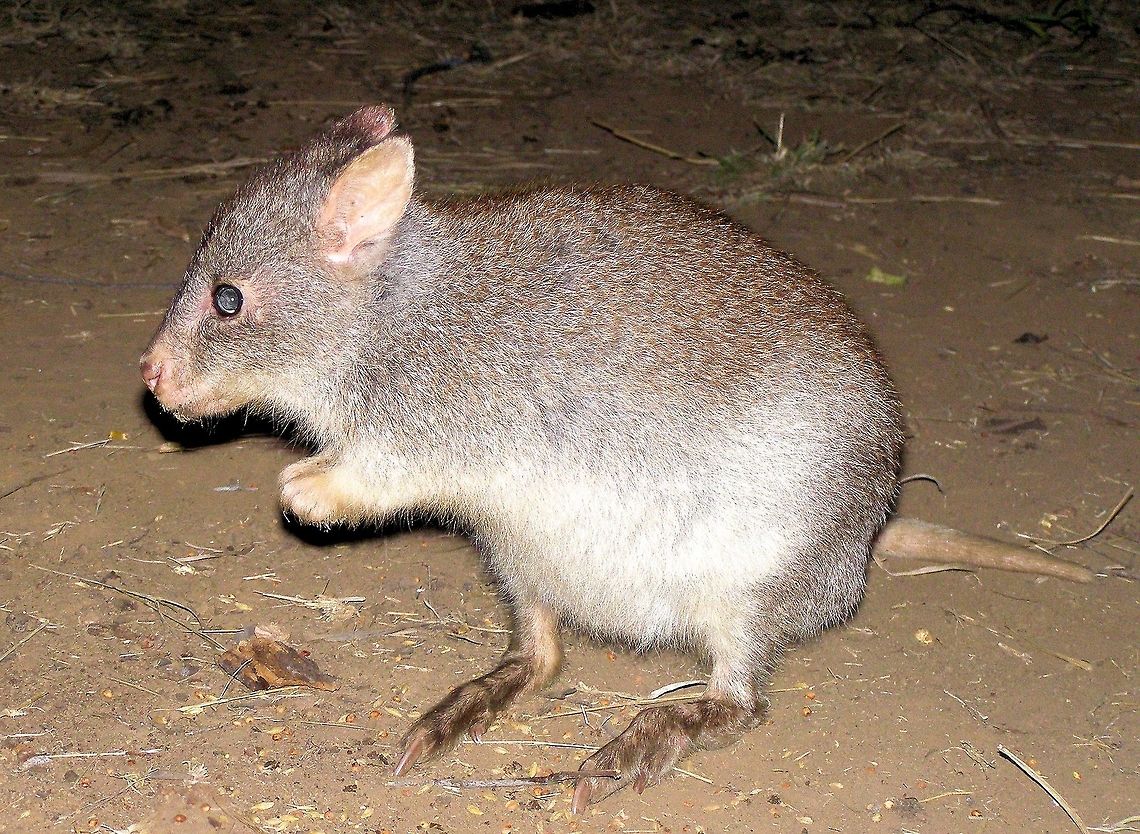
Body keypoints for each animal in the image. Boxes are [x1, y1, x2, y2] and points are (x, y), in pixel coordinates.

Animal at [140, 105, 1086, 812]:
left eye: (227, 300)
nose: (151, 376)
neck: (385, 317)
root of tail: (863, 543)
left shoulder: (444, 423)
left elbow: (378, 470)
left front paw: (303, 488)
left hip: (749, 581)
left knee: (739, 702)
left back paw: (627, 747)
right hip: (518, 554)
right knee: (544, 657)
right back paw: (458, 712)